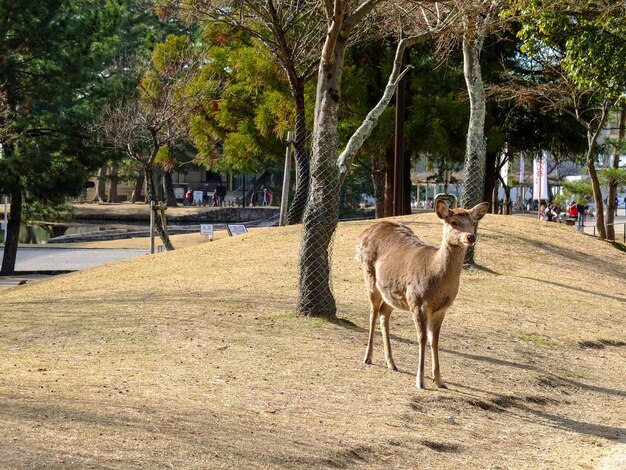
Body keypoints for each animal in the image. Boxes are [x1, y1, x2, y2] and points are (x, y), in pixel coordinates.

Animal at [354, 201, 490, 390]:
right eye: (454, 222)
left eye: (473, 222)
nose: (470, 237)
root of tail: (364, 233)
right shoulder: (417, 302)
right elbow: (422, 338)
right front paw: (420, 381)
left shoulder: (442, 309)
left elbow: (435, 340)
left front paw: (439, 381)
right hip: (370, 279)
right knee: (373, 313)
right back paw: (368, 357)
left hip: (393, 293)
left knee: (383, 314)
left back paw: (392, 363)